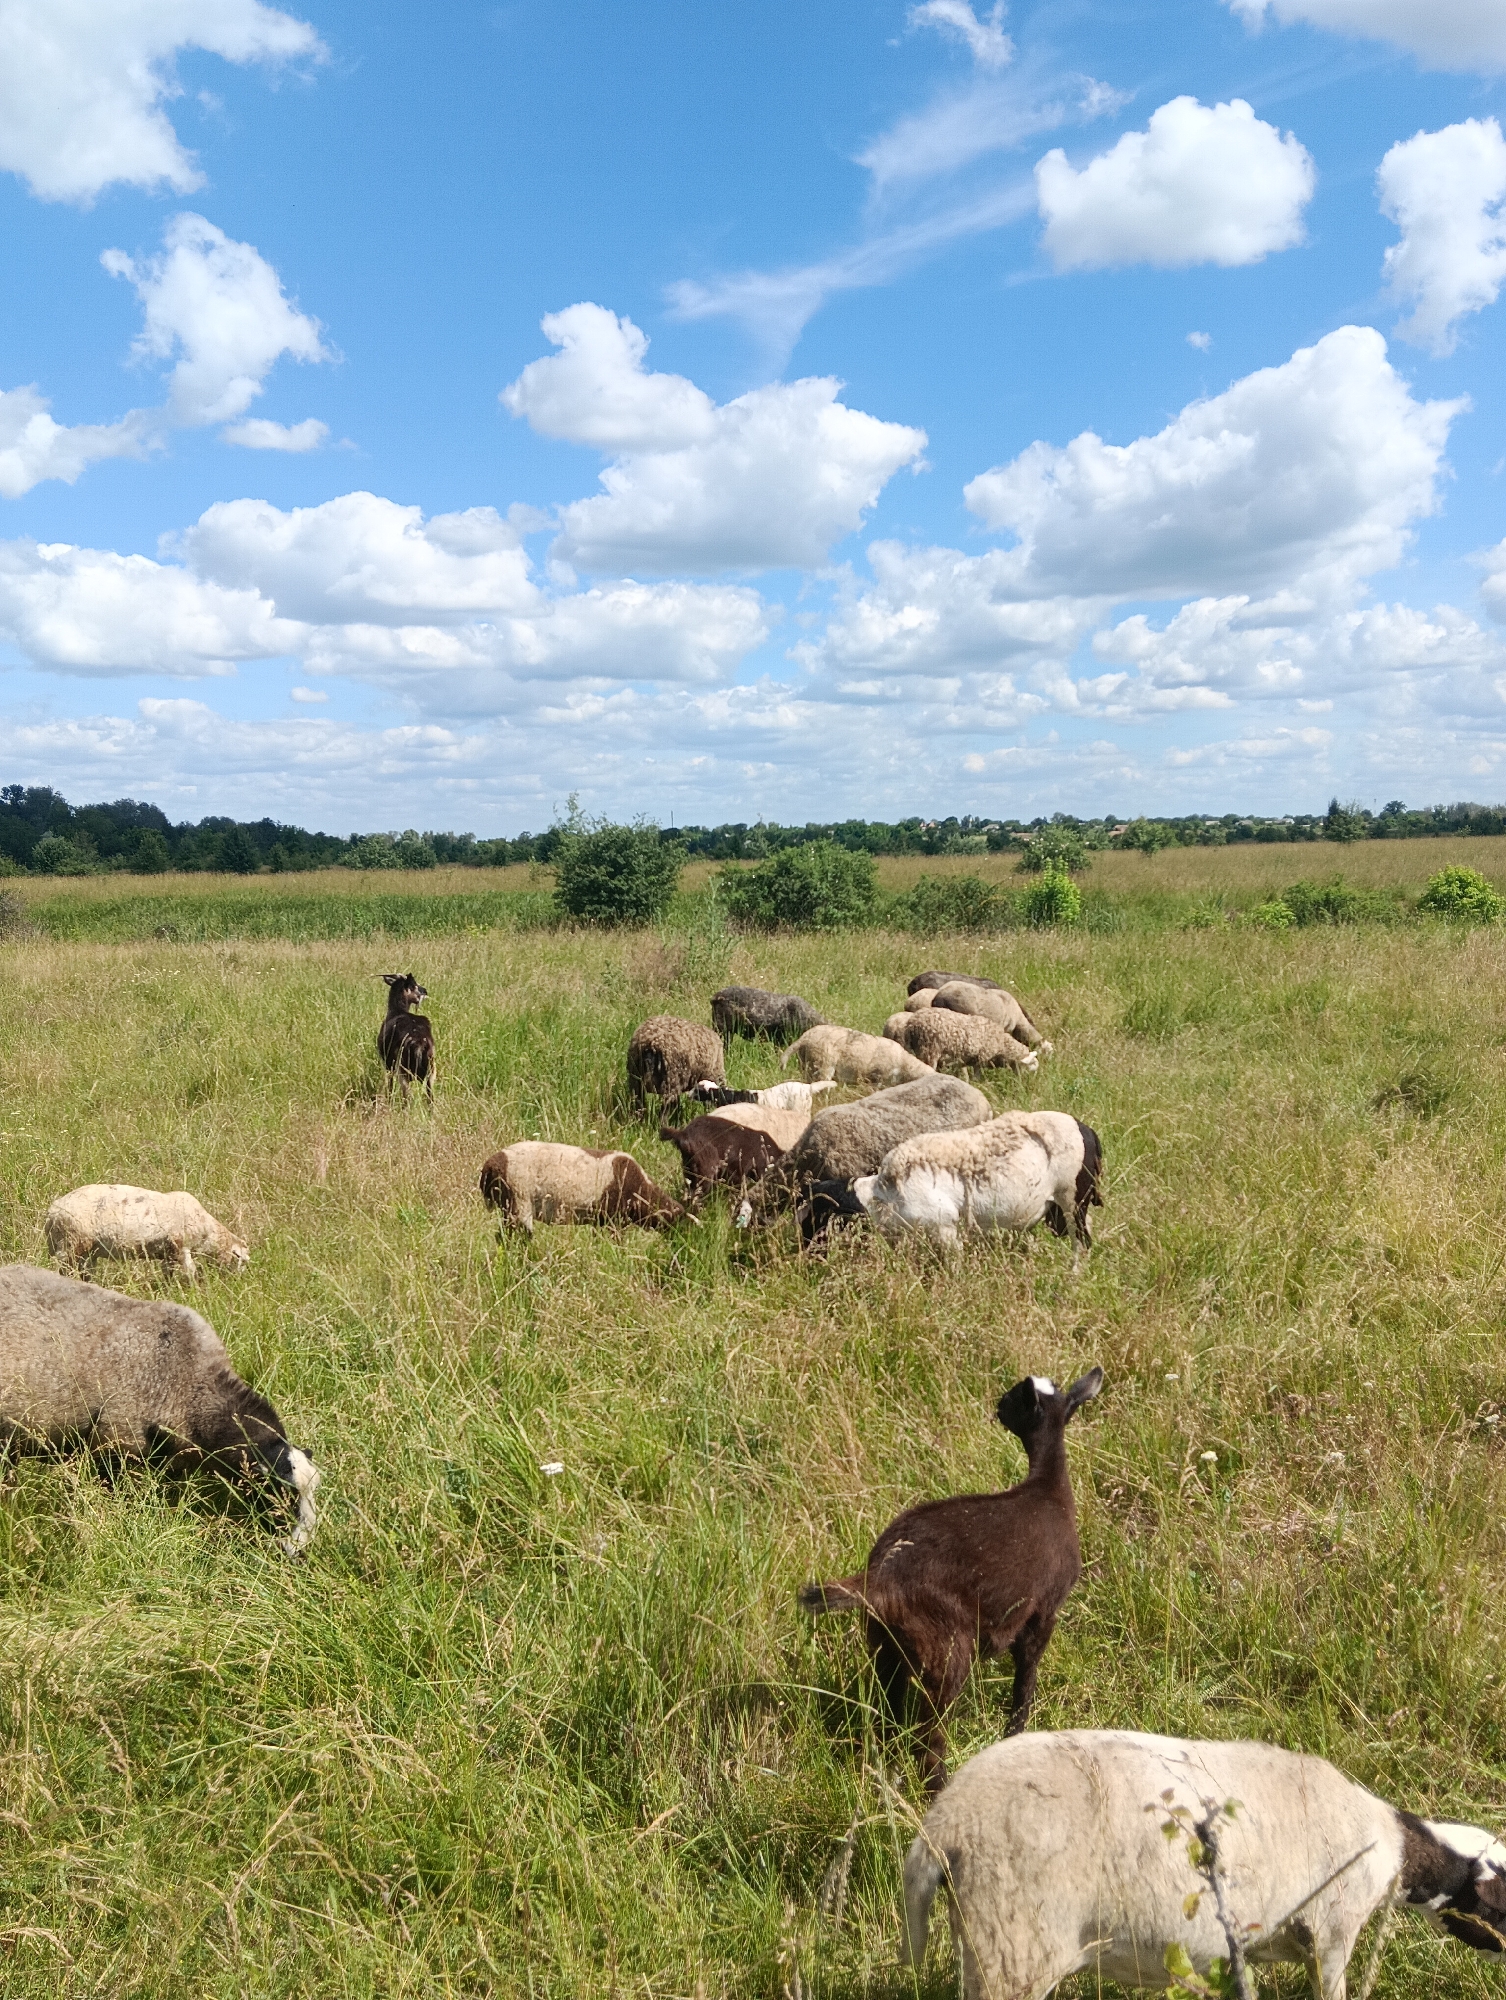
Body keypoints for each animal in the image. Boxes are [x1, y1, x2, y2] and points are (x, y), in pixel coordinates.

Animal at [45, 1185, 250, 1279]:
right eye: (242, 1260)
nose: (238, 1281)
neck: (207, 1231)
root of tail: (52, 1212)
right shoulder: (180, 1246)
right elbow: (190, 1272)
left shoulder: (168, 1253)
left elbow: (168, 1272)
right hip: (71, 1242)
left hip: (87, 1251)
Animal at [800, 1368, 1102, 1792]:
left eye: (1013, 1398)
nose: (998, 1405)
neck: (1048, 1490)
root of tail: (882, 1578)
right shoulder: (1043, 1609)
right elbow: (1026, 1678)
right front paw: (1016, 1735)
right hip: (944, 1646)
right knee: (929, 1738)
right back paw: (940, 1786)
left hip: (884, 1643)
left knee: (887, 1715)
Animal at [903, 1008, 1039, 1076]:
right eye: (1030, 1068)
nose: (1026, 1086)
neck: (1002, 1044)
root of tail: (912, 1024)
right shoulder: (982, 1058)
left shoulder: (963, 1060)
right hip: (929, 1050)